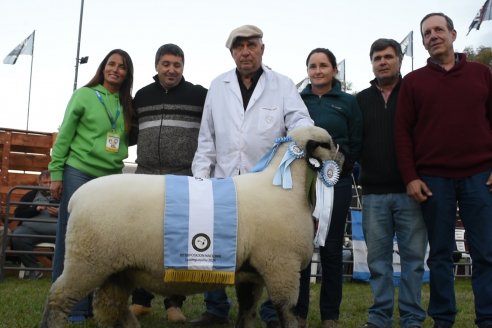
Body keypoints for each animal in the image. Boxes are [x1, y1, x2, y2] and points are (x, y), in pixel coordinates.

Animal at [41, 124, 342, 326]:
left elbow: (247, 312)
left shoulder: (253, 272)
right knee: (58, 299)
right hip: (88, 260)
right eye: (329, 143)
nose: (344, 159)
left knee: (110, 306)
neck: (285, 188)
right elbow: (287, 312)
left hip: (118, 267)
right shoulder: (281, 266)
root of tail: (76, 198)